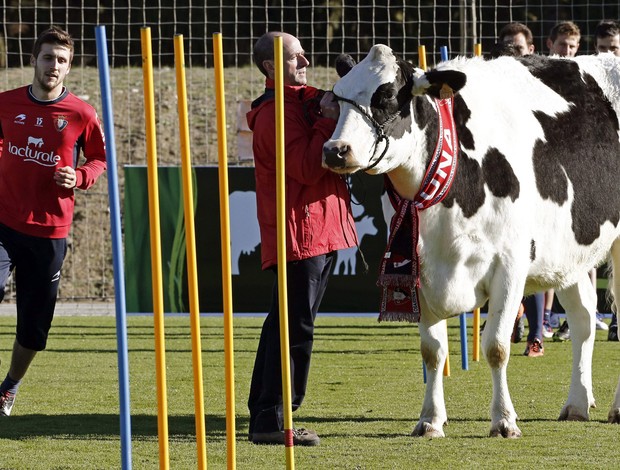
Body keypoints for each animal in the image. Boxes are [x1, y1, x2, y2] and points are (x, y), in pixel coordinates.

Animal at [322, 44, 620, 436]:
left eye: (385, 97)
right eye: (336, 97)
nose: (335, 149)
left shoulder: (510, 264)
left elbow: (496, 346)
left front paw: (504, 420)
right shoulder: (417, 268)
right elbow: (432, 351)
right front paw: (430, 420)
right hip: (568, 251)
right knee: (584, 318)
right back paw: (576, 404)